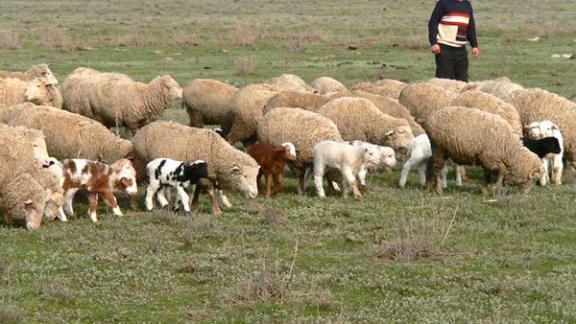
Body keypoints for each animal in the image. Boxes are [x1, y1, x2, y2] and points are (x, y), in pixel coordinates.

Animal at [132, 120, 260, 214]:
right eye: (244, 175)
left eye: (255, 177)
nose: (255, 194)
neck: (216, 151)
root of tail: (141, 131)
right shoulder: (203, 175)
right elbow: (210, 191)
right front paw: (216, 211)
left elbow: (198, 190)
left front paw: (194, 207)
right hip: (144, 163)